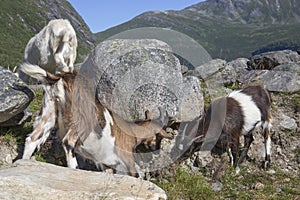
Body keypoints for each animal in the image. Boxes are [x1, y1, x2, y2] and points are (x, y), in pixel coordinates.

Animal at [21, 72, 171, 177]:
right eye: (159, 136)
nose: (156, 150)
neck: (131, 133)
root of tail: (63, 77)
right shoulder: (127, 159)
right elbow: (134, 174)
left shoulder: (106, 164)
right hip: (82, 120)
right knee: (68, 141)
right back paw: (74, 169)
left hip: (49, 113)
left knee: (32, 139)